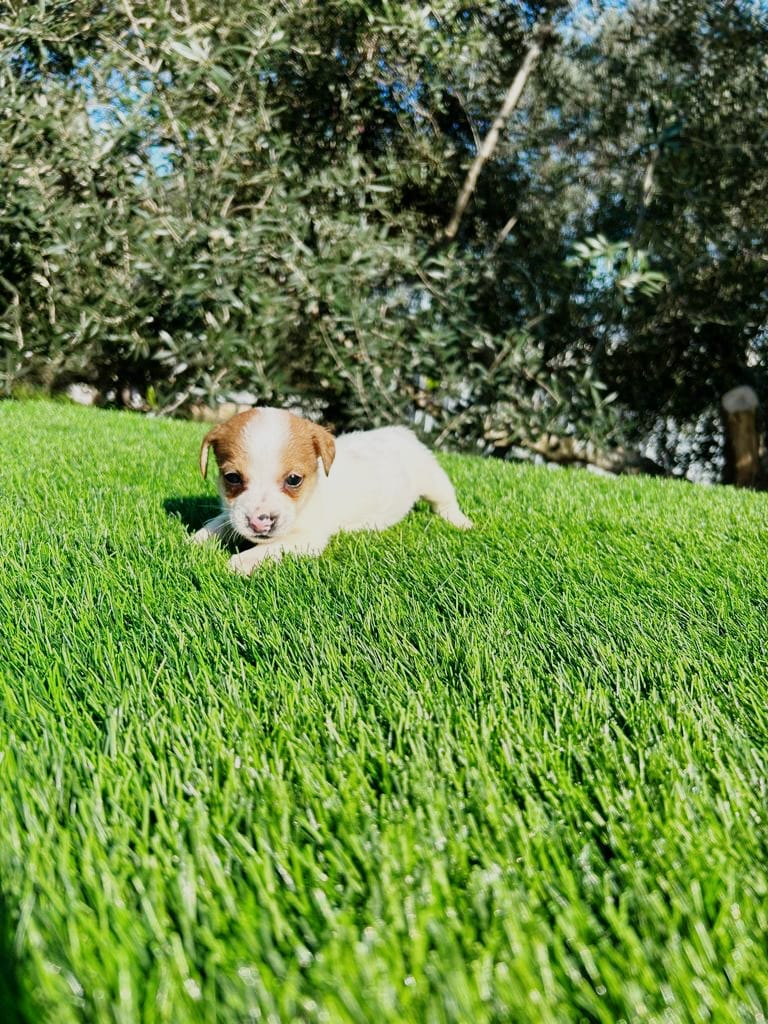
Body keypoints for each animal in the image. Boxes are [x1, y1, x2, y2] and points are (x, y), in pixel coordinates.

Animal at [195, 403, 473, 573]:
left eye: (293, 479)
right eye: (232, 477)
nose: (259, 522)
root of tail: (400, 432)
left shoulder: (307, 539)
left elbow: (270, 547)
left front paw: (243, 561)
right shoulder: (230, 514)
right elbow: (216, 524)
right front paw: (195, 541)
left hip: (433, 478)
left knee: (445, 501)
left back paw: (461, 522)